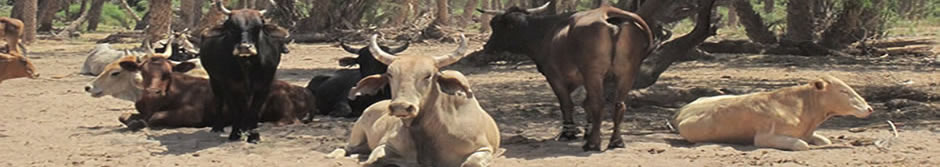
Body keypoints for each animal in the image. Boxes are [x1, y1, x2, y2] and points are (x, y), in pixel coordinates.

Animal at [116, 54, 316, 130]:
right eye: (143, 72)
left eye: (168, 73)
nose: (153, 91)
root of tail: (305, 91)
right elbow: (124, 116)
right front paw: (133, 120)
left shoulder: (192, 114)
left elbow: (154, 118)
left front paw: (140, 123)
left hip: (282, 101)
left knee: (288, 120)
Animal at [197, 0, 286, 144]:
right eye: (232, 27)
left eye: (258, 26)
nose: (244, 47)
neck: (246, 65)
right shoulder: (229, 86)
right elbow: (236, 110)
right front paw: (235, 133)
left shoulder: (264, 86)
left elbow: (254, 110)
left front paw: (254, 136)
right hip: (214, 80)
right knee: (219, 100)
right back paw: (218, 127)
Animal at [336, 34, 500, 167]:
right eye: (390, 74)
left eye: (428, 75)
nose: (401, 107)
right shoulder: (385, 146)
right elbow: (373, 159)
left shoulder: (483, 149)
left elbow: (470, 163)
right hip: (356, 137)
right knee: (345, 148)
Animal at [478, 2, 652, 151]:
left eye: (496, 25)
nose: (488, 46)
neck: (546, 33)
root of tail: (606, 11)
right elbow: (585, 103)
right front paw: (586, 131)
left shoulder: (554, 76)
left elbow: (567, 104)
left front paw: (568, 133)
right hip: (627, 73)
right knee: (619, 105)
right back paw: (616, 141)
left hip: (593, 73)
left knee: (598, 103)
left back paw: (593, 143)